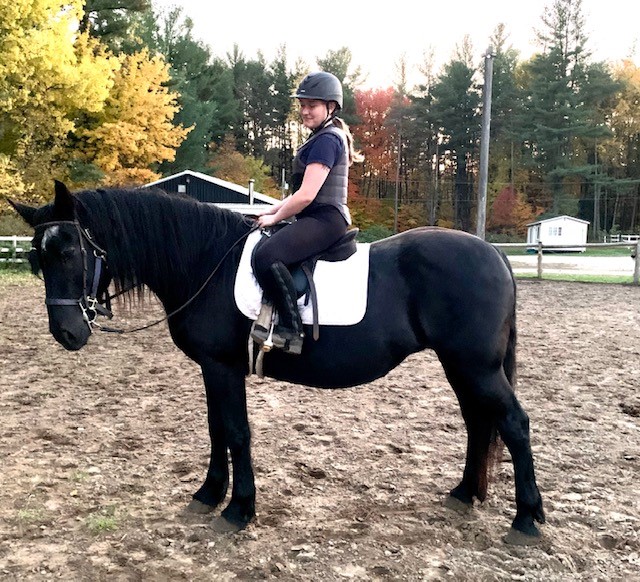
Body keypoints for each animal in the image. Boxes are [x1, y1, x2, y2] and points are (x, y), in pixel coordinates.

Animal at [10, 181, 545, 545]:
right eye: (37, 258)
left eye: (71, 250)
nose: (67, 333)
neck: (204, 262)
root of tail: (494, 254)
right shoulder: (212, 368)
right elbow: (217, 429)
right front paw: (208, 495)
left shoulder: (222, 367)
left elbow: (236, 431)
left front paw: (238, 510)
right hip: (463, 367)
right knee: (479, 422)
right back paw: (465, 494)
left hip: (475, 367)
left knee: (513, 424)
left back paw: (526, 519)